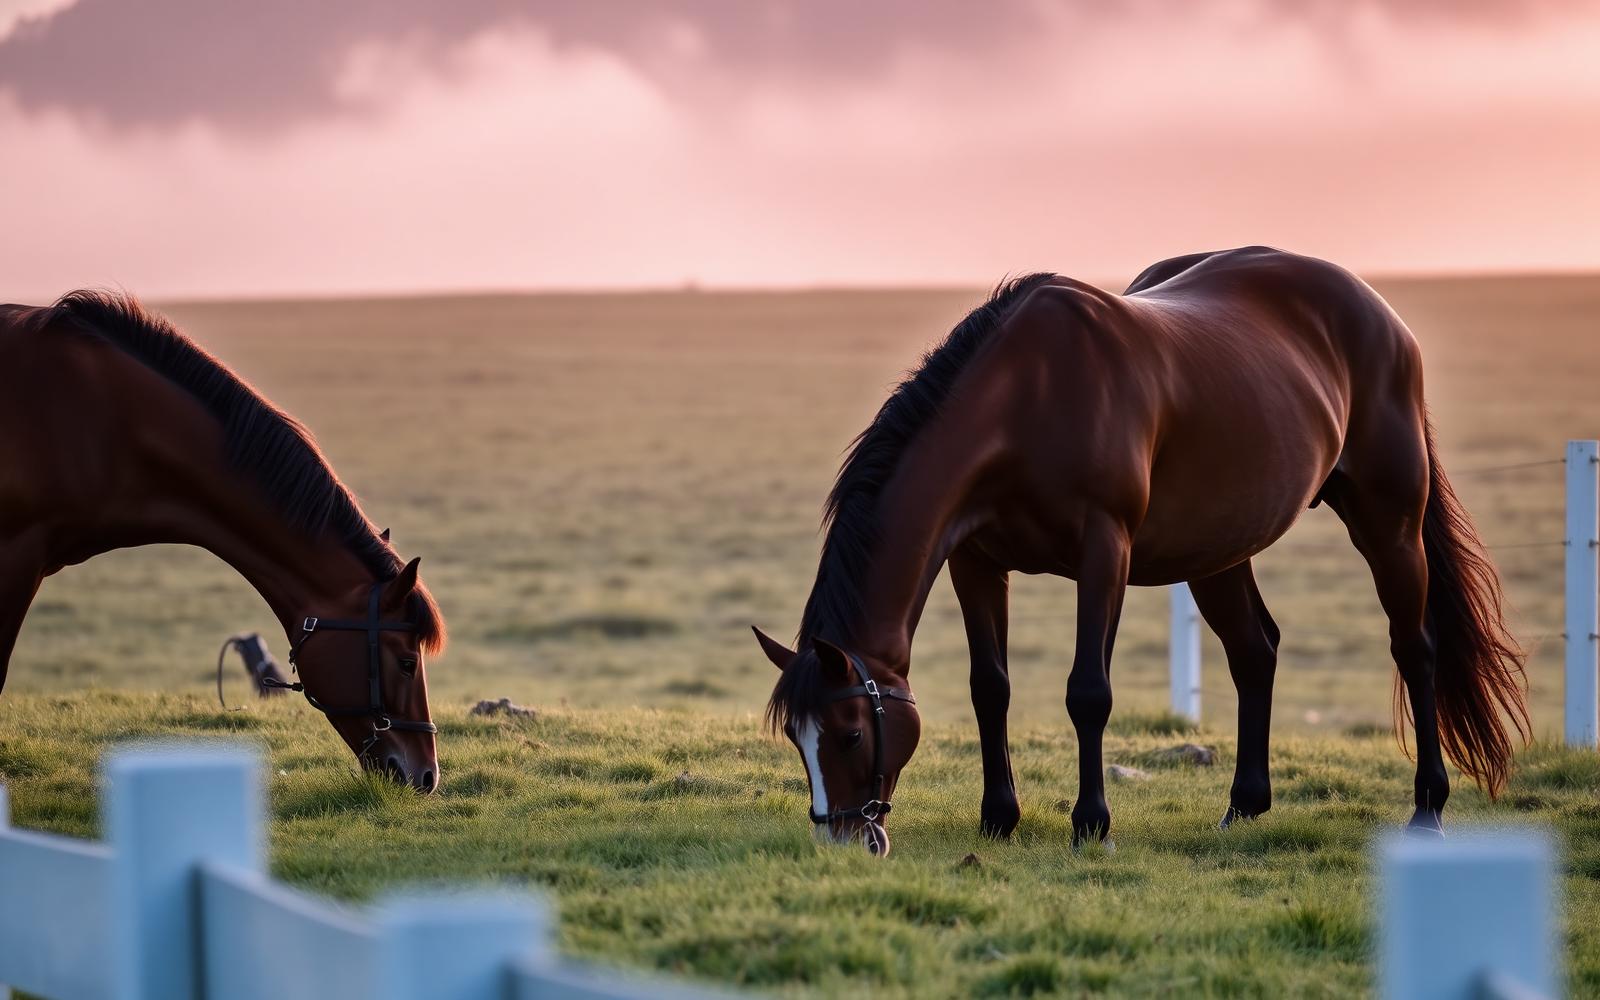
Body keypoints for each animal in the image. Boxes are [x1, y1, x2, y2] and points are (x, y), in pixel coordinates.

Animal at [755, 246, 1528, 855]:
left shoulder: (1106, 553)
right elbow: (989, 688)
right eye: (799, 740)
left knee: (1415, 648)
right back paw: (1243, 806)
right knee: (1256, 651)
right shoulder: (976, 562)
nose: (844, 836)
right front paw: (999, 818)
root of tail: (1379, 313)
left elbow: (1088, 692)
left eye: (850, 734)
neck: (1027, 398)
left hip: (1389, 523)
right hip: (1219, 548)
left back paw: (1428, 808)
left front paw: (1090, 823)